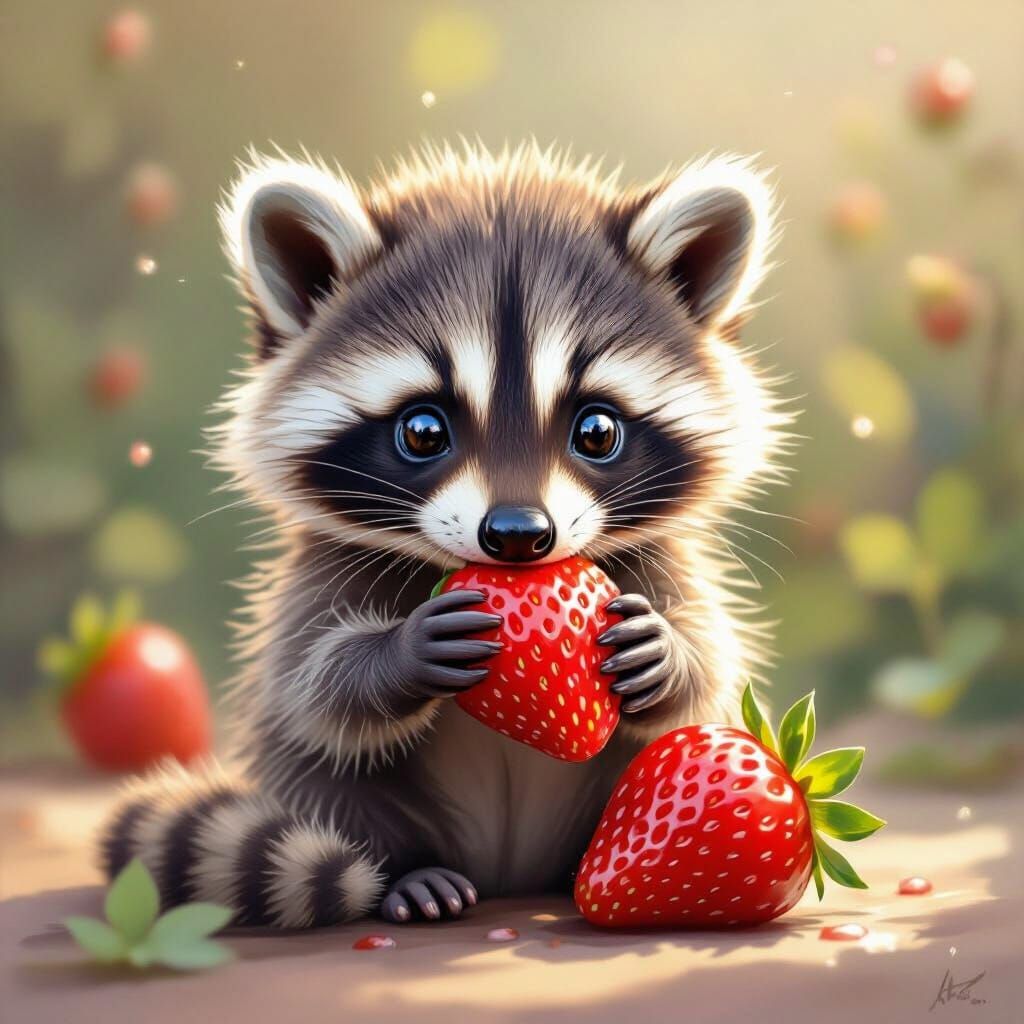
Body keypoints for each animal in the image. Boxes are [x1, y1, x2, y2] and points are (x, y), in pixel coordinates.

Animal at [99, 142, 792, 928]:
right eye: (423, 431)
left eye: (597, 430)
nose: (519, 534)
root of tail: (508, 873)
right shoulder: (322, 572)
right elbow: (311, 685)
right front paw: (398, 653)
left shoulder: (656, 560)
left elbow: (714, 661)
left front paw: (669, 652)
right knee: (320, 769)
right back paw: (407, 869)